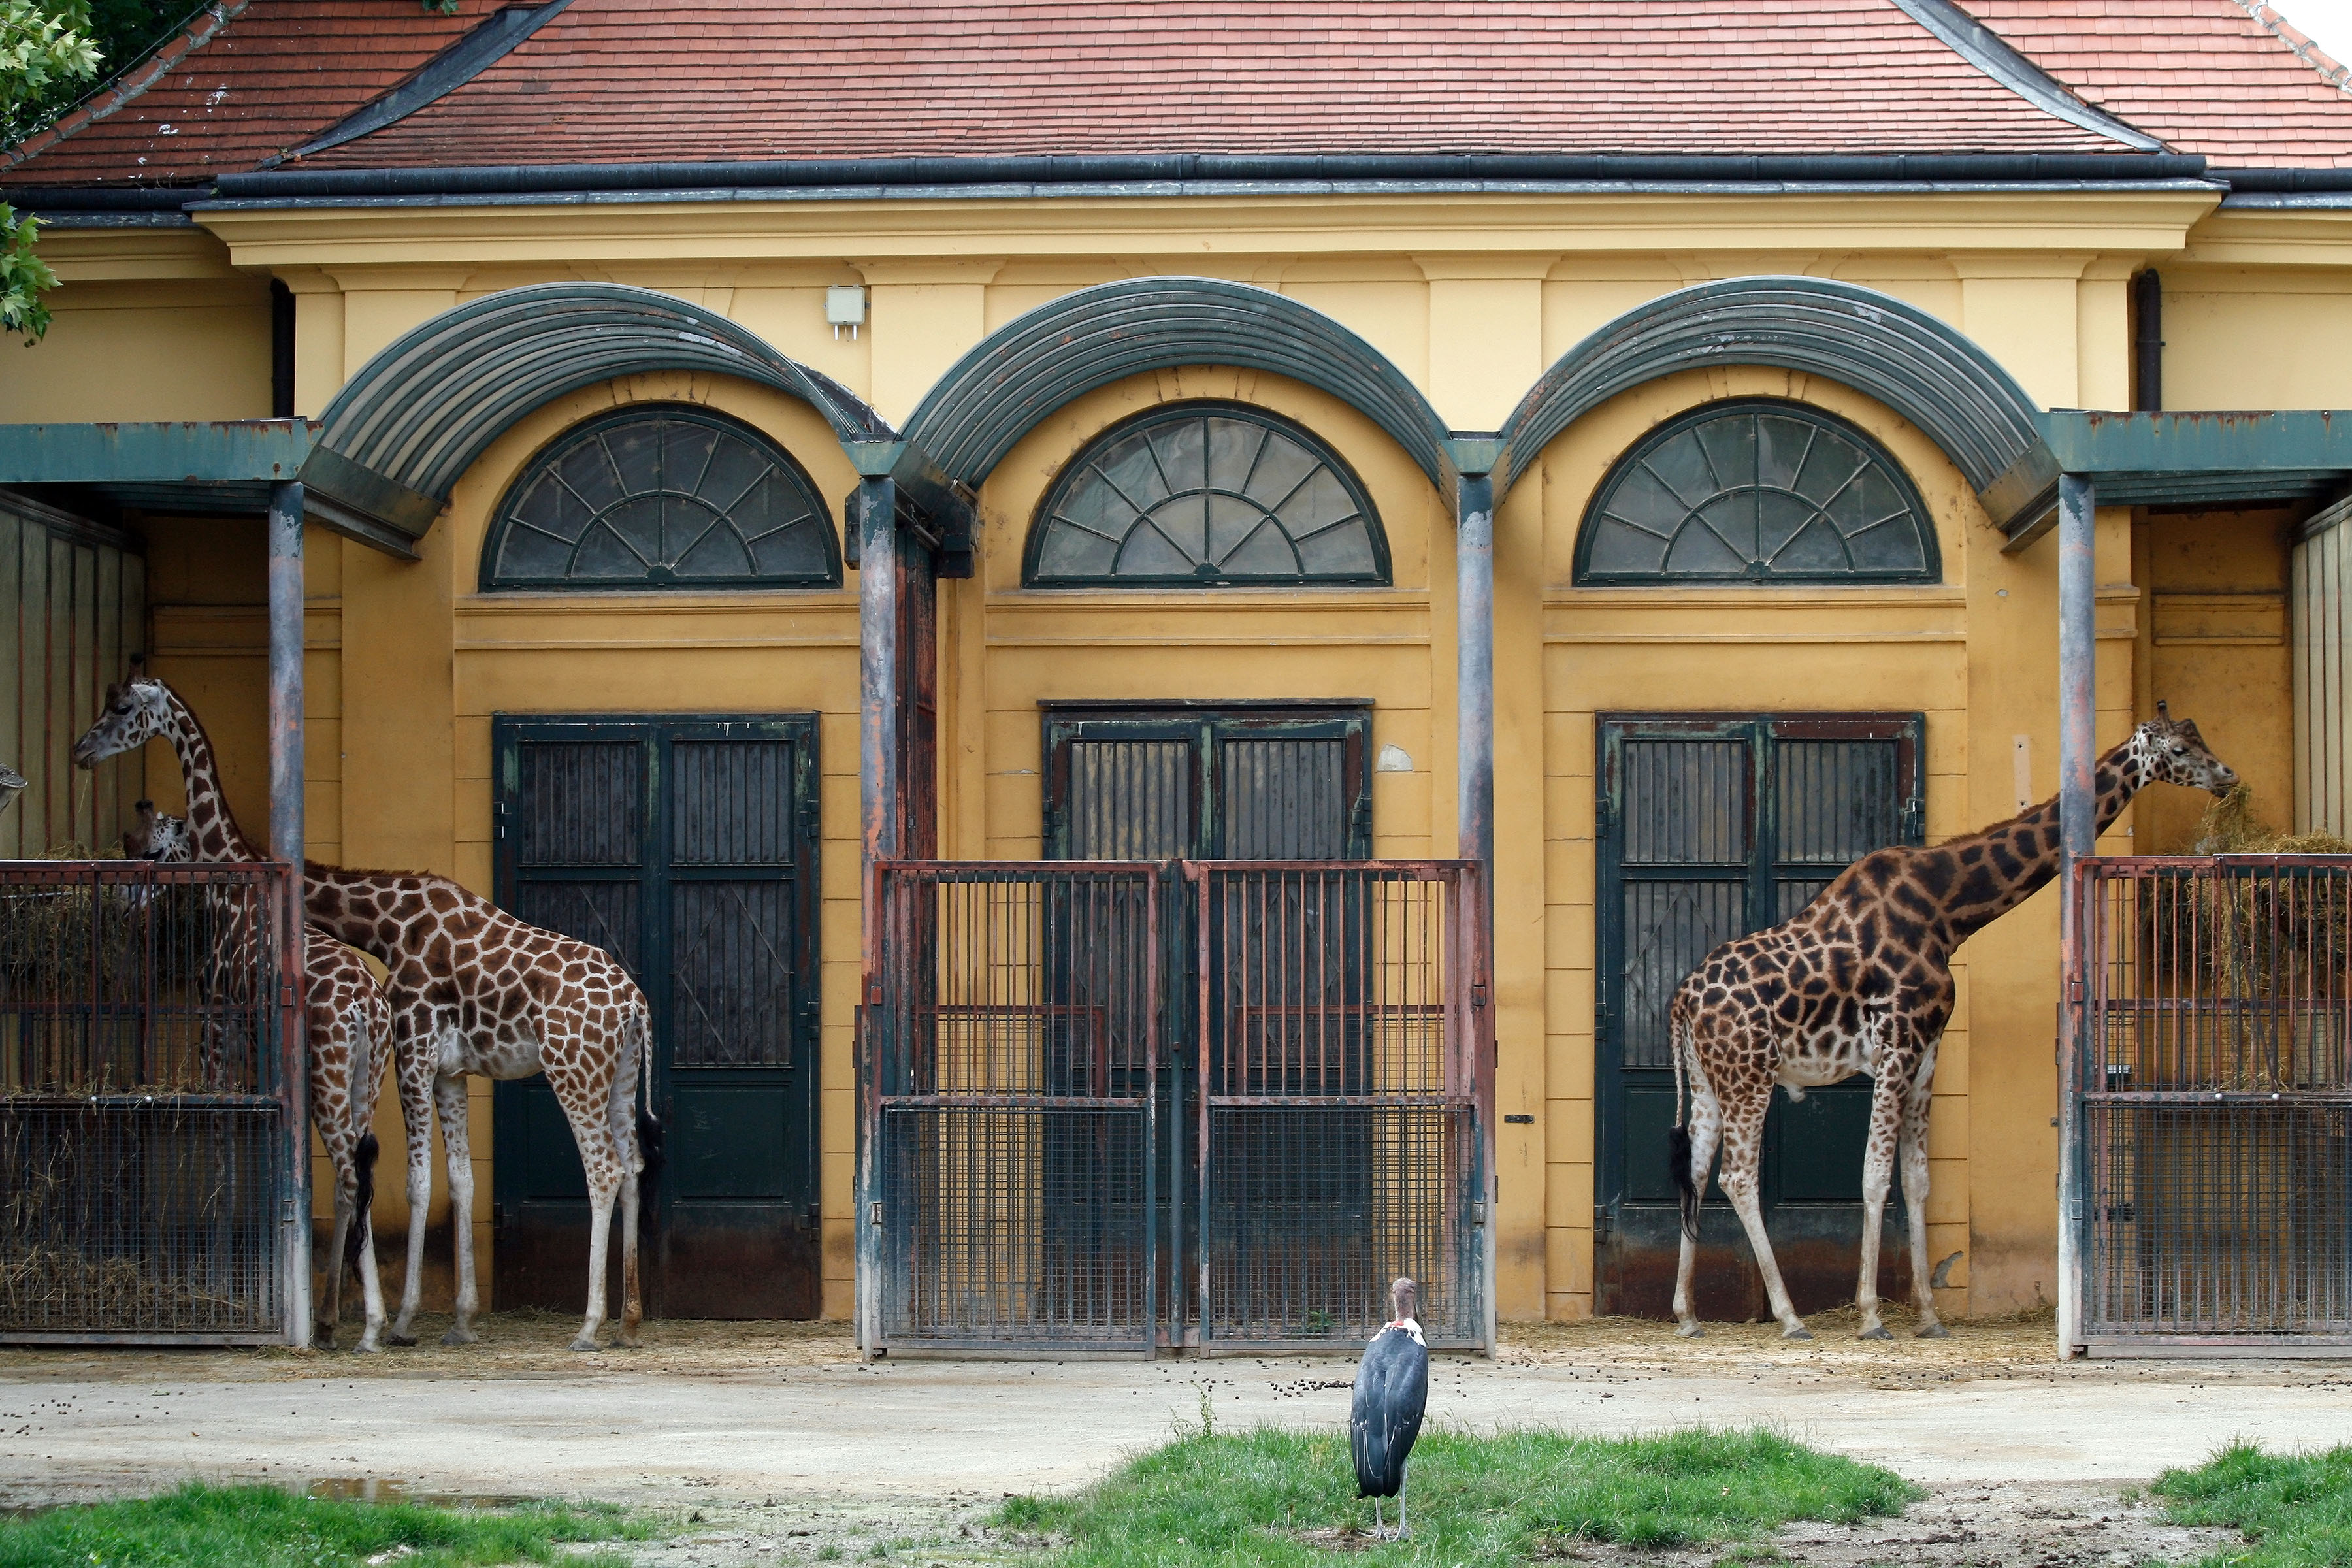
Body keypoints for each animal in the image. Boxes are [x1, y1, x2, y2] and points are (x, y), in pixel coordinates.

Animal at [123, 804, 400, 1354]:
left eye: (151, 850)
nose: (128, 908)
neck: (232, 898)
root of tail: (366, 1008)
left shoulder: (217, 1035)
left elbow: (226, 1155)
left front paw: (219, 1283)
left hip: (327, 1079)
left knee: (347, 1175)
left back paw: (366, 1325)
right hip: (366, 1079)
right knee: (358, 1177)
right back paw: (334, 1318)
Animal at [303, 865, 659, 1354]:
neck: (388, 926)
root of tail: (634, 1004)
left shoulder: (413, 1051)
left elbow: (418, 1182)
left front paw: (402, 1323)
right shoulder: (451, 1072)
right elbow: (462, 1179)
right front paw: (462, 1321)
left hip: (572, 1071)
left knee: (604, 1169)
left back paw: (588, 1328)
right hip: (622, 1075)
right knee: (632, 1166)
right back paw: (628, 1324)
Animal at [1665, 705, 2229, 1345]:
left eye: (2200, 739)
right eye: (2179, 751)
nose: (2227, 777)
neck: (1947, 912)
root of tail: (1682, 1001)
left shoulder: (1928, 1048)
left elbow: (1916, 1180)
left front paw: (1930, 1315)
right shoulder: (1898, 1041)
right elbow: (1875, 1176)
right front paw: (1872, 1315)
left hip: (1710, 1080)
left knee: (1697, 1171)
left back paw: (1687, 1314)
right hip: (1751, 1076)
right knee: (1737, 1177)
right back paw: (1789, 1317)